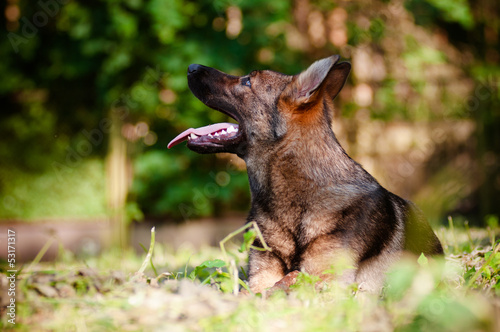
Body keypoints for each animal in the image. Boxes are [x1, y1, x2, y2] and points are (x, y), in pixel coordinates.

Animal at [168, 55, 442, 294]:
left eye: (247, 81)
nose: (191, 67)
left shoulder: (327, 276)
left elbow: (290, 279)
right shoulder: (261, 273)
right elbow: (256, 288)